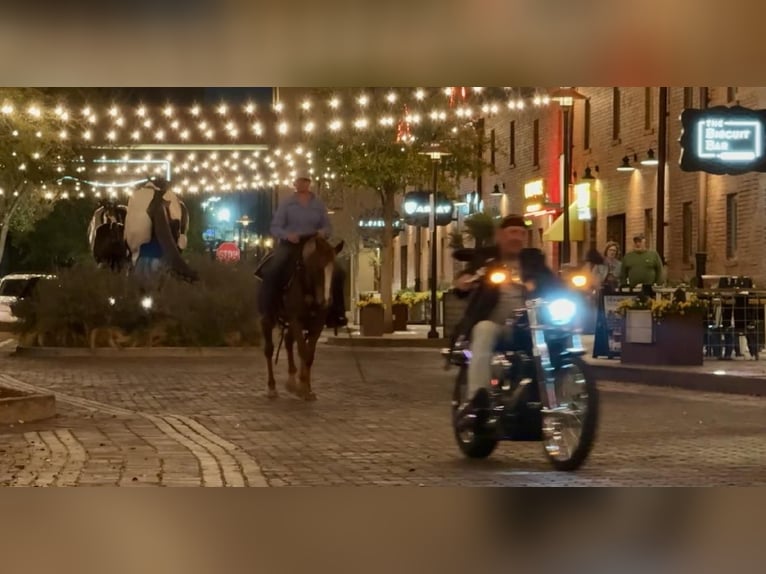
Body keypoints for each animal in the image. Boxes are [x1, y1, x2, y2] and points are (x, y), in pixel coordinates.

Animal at [264, 236, 344, 402]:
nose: (326, 301)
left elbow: (309, 355)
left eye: (334, 270)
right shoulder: (295, 319)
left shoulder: (317, 324)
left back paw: (291, 381)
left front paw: (306, 388)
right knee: (269, 349)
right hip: (268, 318)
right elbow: (302, 350)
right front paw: (302, 386)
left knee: (288, 341)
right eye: (318, 268)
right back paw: (272, 387)